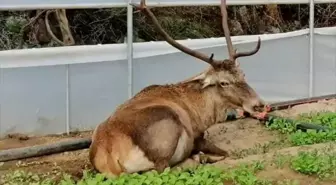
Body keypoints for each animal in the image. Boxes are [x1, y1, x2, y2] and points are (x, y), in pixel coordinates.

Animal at [88, 0, 270, 178]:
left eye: (243, 74)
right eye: (224, 82)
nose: (258, 104)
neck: (202, 113)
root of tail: (109, 156)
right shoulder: (196, 136)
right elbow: (226, 152)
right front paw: (203, 156)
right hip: (166, 128)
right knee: (161, 170)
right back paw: (196, 159)